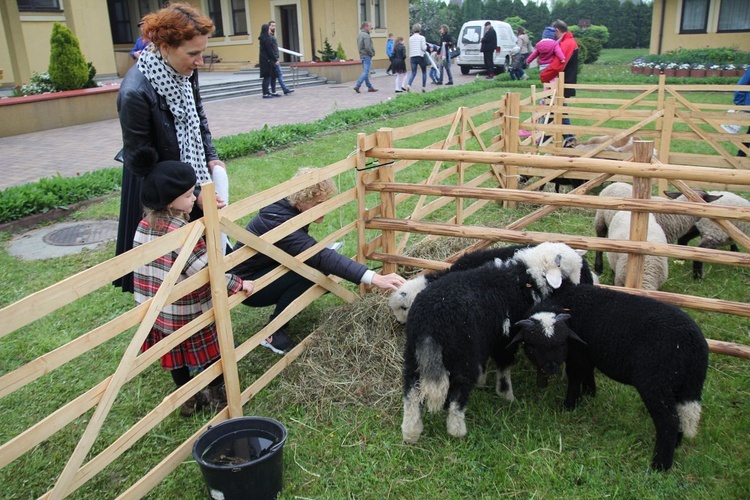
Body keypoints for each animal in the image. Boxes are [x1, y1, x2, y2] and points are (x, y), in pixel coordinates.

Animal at [406, 242, 588, 442]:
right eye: (568, 273)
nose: (579, 286)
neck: (528, 277)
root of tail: (432, 319)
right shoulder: (506, 338)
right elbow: (504, 367)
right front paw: (507, 395)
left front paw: (483, 381)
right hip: (463, 353)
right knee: (457, 394)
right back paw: (457, 430)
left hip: (414, 352)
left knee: (411, 392)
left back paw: (410, 433)